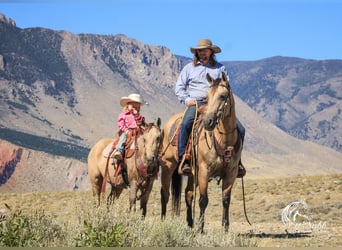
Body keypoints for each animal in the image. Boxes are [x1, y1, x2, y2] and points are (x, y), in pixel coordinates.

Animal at [160, 72, 242, 232]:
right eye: (207, 97)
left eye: (223, 96)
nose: (208, 122)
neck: (224, 141)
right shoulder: (204, 171)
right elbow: (203, 200)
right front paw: (200, 229)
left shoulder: (231, 172)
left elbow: (226, 200)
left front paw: (225, 228)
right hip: (168, 166)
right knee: (165, 193)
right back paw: (163, 221)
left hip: (192, 173)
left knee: (188, 194)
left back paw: (190, 223)